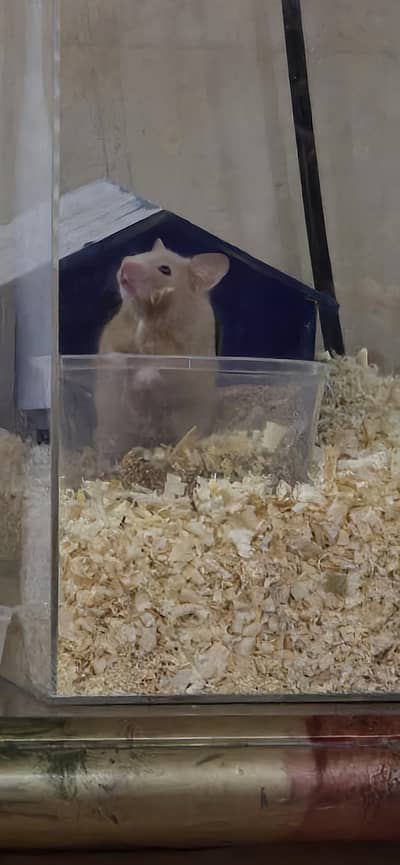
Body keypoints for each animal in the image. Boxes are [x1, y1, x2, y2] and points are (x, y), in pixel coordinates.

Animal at [95, 239, 230, 467]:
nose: (125, 263)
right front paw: (123, 365)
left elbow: (161, 370)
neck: (147, 316)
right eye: (144, 252)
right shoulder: (113, 334)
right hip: (112, 425)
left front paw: (144, 376)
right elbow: (114, 355)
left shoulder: (183, 358)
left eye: (165, 270)